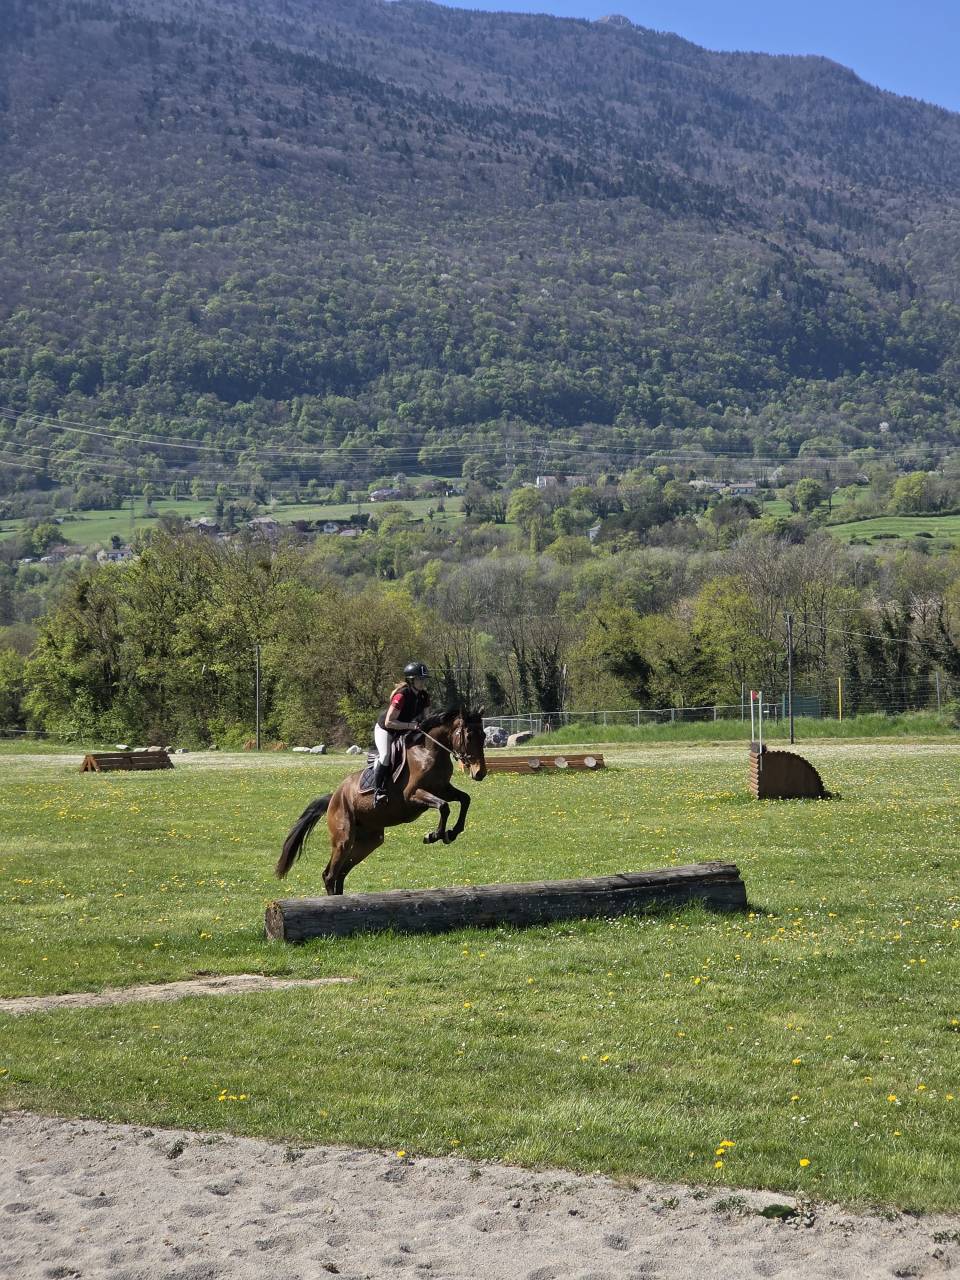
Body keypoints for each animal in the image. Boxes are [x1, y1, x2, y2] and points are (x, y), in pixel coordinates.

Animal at [276, 707, 488, 895]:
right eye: (469, 736)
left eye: (484, 736)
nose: (480, 773)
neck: (428, 752)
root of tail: (334, 797)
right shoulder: (413, 795)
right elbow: (444, 807)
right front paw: (435, 835)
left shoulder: (443, 789)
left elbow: (464, 799)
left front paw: (452, 832)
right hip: (343, 838)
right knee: (329, 875)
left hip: (369, 841)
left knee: (341, 873)